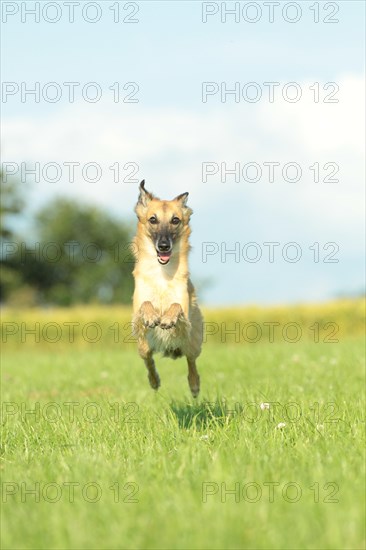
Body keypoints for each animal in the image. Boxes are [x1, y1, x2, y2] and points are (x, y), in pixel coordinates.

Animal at [132, 181, 203, 396]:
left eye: (175, 220)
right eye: (153, 219)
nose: (164, 246)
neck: (162, 273)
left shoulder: (184, 314)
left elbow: (176, 306)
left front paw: (167, 318)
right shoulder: (137, 314)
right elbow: (145, 303)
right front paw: (151, 316)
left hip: (192, 342)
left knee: (191, 362)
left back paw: (194, 386)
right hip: (143, 346)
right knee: (148, 360)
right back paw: (154, 381)